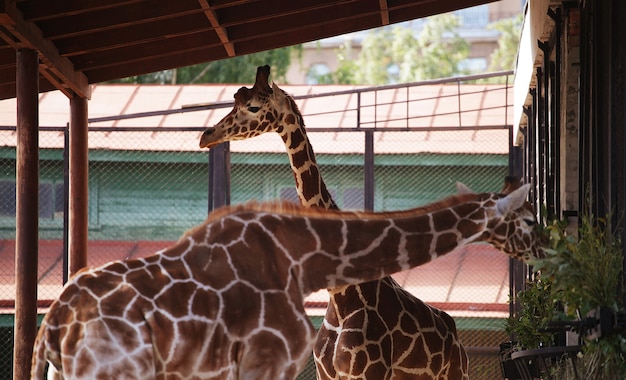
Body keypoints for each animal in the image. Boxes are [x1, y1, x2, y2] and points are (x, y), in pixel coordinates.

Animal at [200, 65, 468, 378]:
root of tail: (457, 340)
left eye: (253, 106)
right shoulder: (325, 372)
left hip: (457, 373)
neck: (339, 295)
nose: (206, 135)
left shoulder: (369, 371)